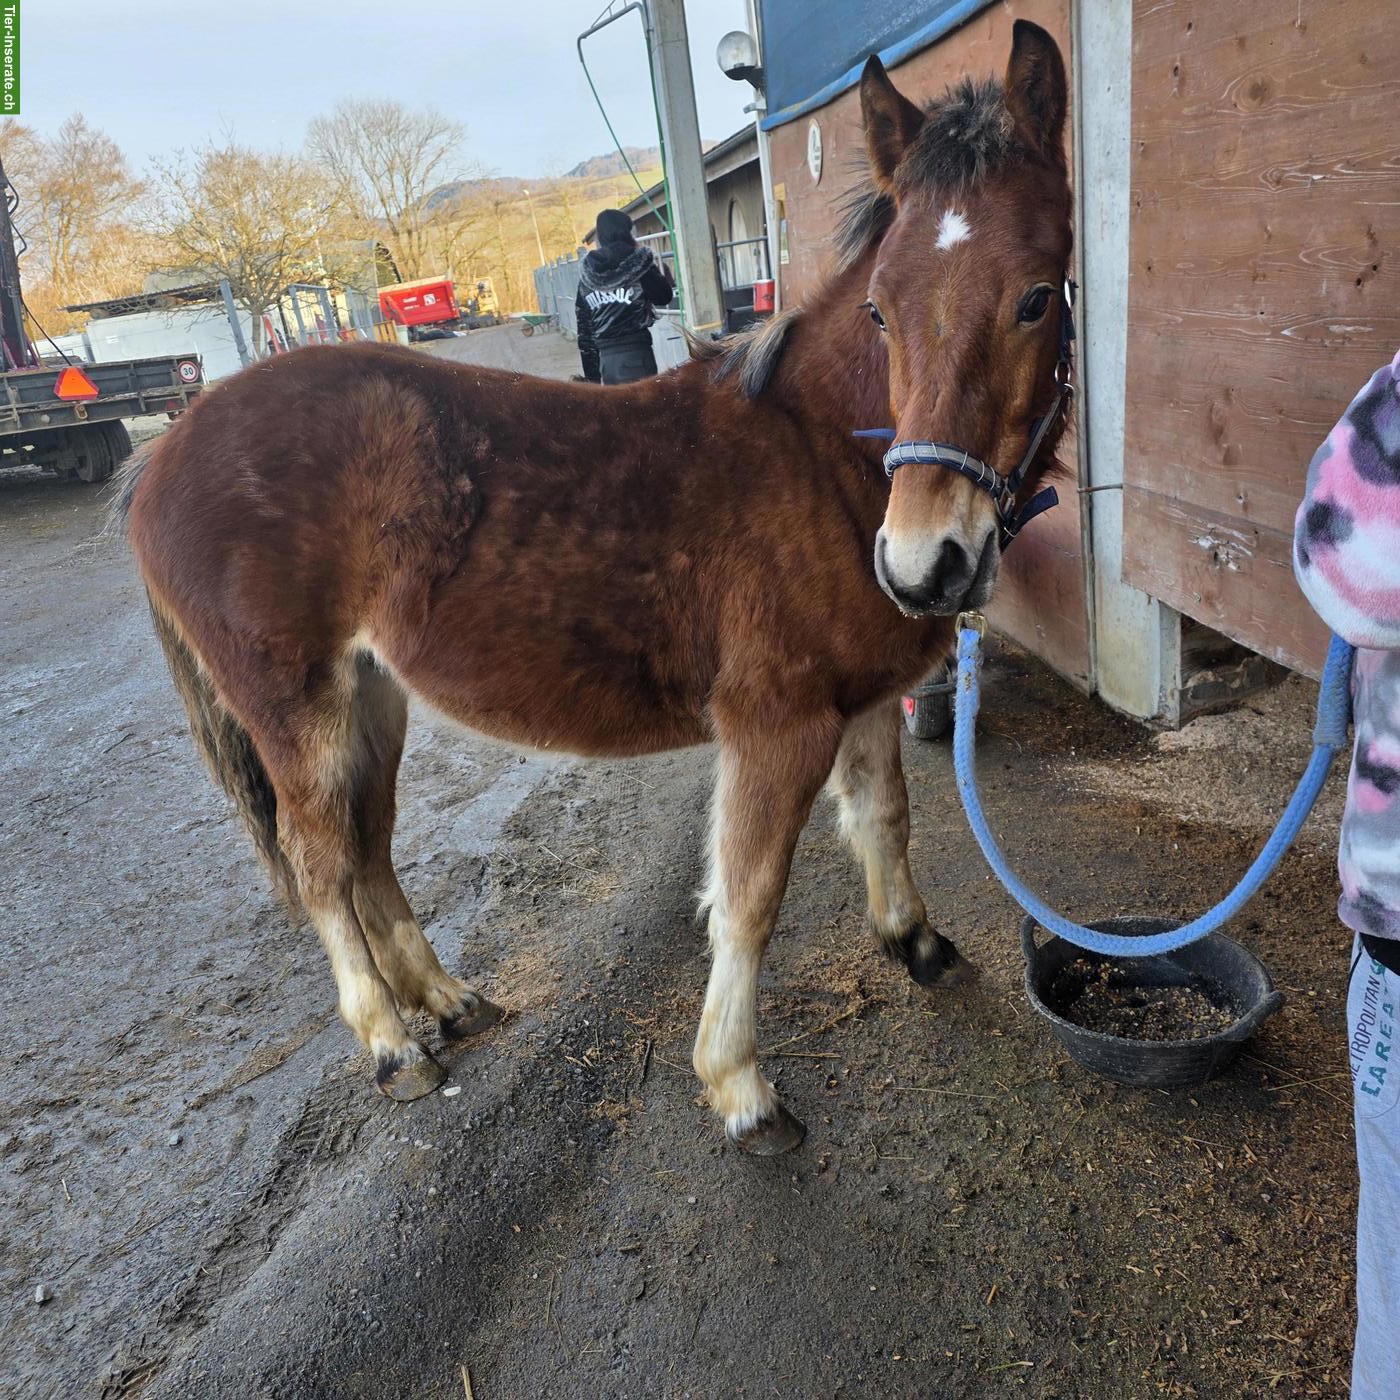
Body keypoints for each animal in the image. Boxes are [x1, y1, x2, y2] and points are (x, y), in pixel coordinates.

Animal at [115, 21, 1072, 1156]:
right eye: (880, 309)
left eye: (1037, 295)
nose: (926, 562)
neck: (814, 453)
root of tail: (163, 455)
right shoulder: (777, 722)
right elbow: (748, 895)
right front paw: (739, 1086)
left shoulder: (868, 697)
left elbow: (882, 816)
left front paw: (917, 945)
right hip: (294, 709)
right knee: (318, 866)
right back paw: (391, 1044)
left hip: (371, 696)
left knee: (367, 849)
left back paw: (448, 1001)